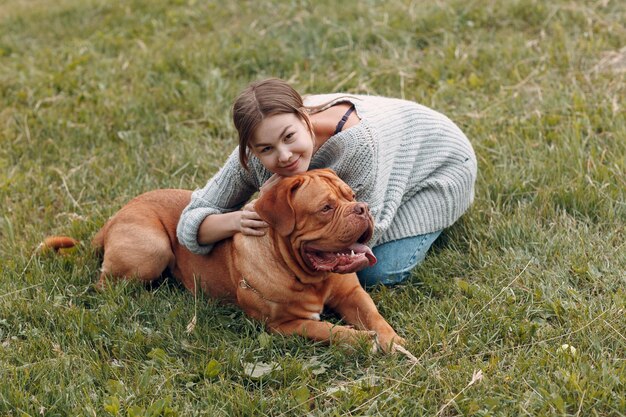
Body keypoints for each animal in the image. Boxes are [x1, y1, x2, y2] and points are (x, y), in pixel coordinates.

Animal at [84, 169, 404, 352]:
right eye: (326, 208)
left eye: (352, 195)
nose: (362, 208)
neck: (307, 276)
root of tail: (114, 217)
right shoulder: (284, 324)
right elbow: (325, 329)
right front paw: (361, 339)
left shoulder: (352, 295)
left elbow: (374, 316)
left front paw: (392, 340)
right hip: (154, 249)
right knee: (104, 284)